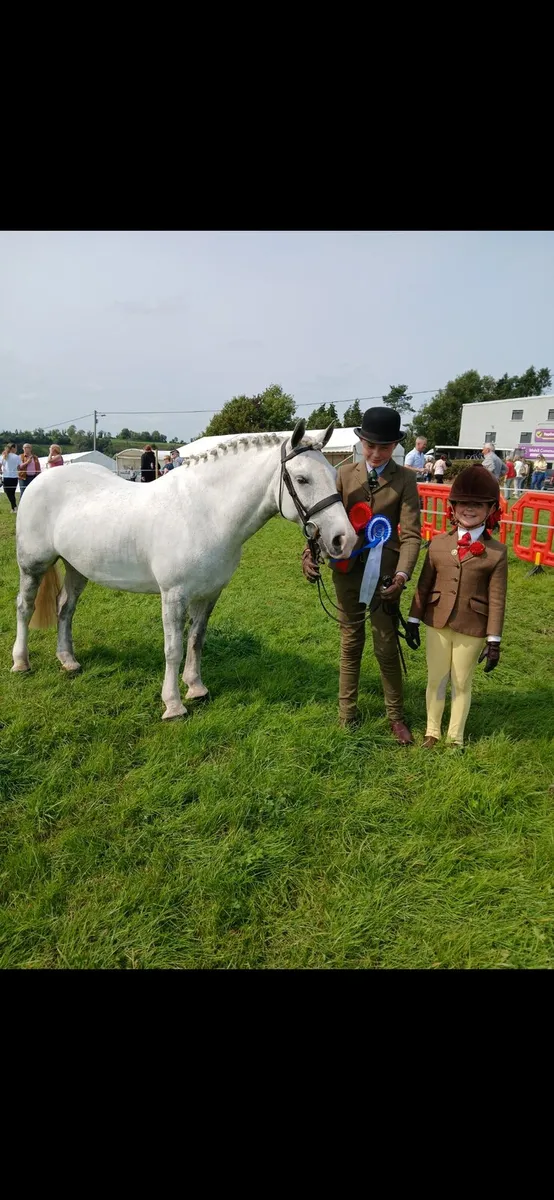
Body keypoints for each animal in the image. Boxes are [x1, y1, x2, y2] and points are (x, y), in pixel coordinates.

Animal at [12, 420, 357, 720]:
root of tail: (39, 481)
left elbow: (196, 640)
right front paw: (173, 705)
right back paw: (20, 662)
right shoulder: (174, 595)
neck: (205, 513)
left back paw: (68, 661)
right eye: (302, 479)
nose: (344, 539)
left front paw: (196, 688)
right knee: (25, 608)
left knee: (65, 609)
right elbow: (173, 649)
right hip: (33, 565)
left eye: (332, 473)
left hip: (76, 568)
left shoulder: (209, 593)